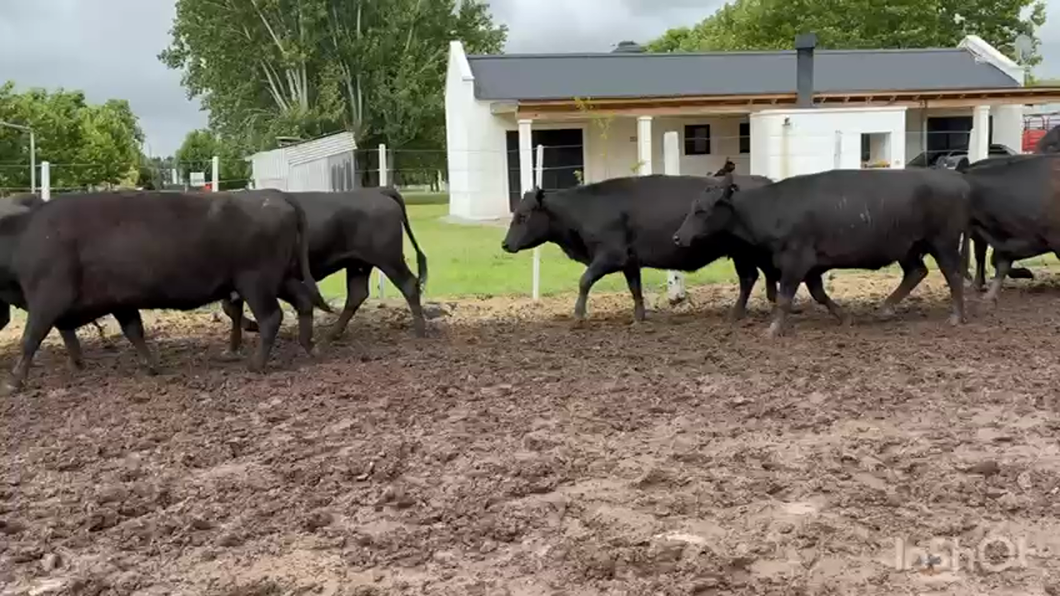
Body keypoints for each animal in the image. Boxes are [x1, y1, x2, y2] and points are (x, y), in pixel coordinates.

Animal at [0, 189, 332, 394]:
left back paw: (256, 364)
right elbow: (134, 331)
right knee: (303, 301)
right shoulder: (120, 301)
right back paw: (311, 347)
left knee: (271, 317)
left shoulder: (47, 298)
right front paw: (150, 366)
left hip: (256, 281)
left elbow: (30, 338)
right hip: (281, 278)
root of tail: (272, 194)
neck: (24, 236)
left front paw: (14, 381)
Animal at [220, 187, 428, 351]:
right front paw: (235, 343)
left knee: (409, 285)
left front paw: (251, 327)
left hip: (388, 259)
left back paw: (420, 332)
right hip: (358, 264)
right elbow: (231, 308)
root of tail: (376, 191)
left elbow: (232, 308)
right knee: (357, 294)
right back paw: (331, 335)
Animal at [500, 173, 780, 324]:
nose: (505, 244)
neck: (586, 209)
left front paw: (578, 314)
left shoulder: (610, 255)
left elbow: (584, 280)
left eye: (523, 216)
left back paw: (737, 312)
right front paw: (638, 317)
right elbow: (635, 288)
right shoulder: (629, 261)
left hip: (743, 253)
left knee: (749, 277)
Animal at [673, 169, 970, 338]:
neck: (772, 208)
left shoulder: (795, 261)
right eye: (692, 207)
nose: (677, 237)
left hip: (943, 243)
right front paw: (845, 317)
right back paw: (886, 308)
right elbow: (819, 294)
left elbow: (785, 298)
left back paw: (956, 317)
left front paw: (772, 330)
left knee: (952, 275)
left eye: (701, 210)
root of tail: (958, 180)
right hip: (907, 247)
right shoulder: (811, 266)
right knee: (916, 271)